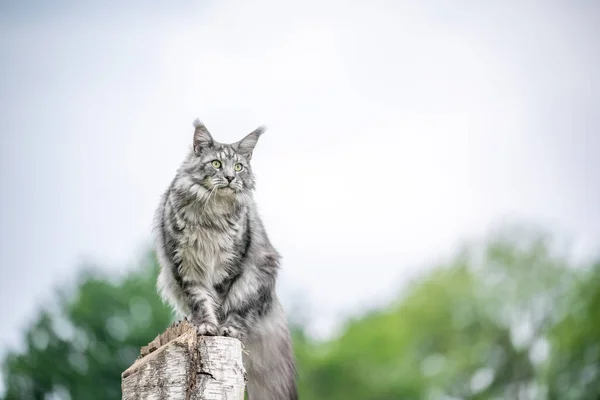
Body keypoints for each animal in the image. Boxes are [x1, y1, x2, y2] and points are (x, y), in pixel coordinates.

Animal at [152, 119, 298, 400]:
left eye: (239, 167)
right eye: (217, 164)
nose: (231, 177)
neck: (212, 214)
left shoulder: (229, 266)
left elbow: (219, 301)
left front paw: (218, 327)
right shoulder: (185, 267)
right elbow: (200, 301)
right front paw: (205, 326)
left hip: (255, 280)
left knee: (240, 316)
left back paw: (229, 329)